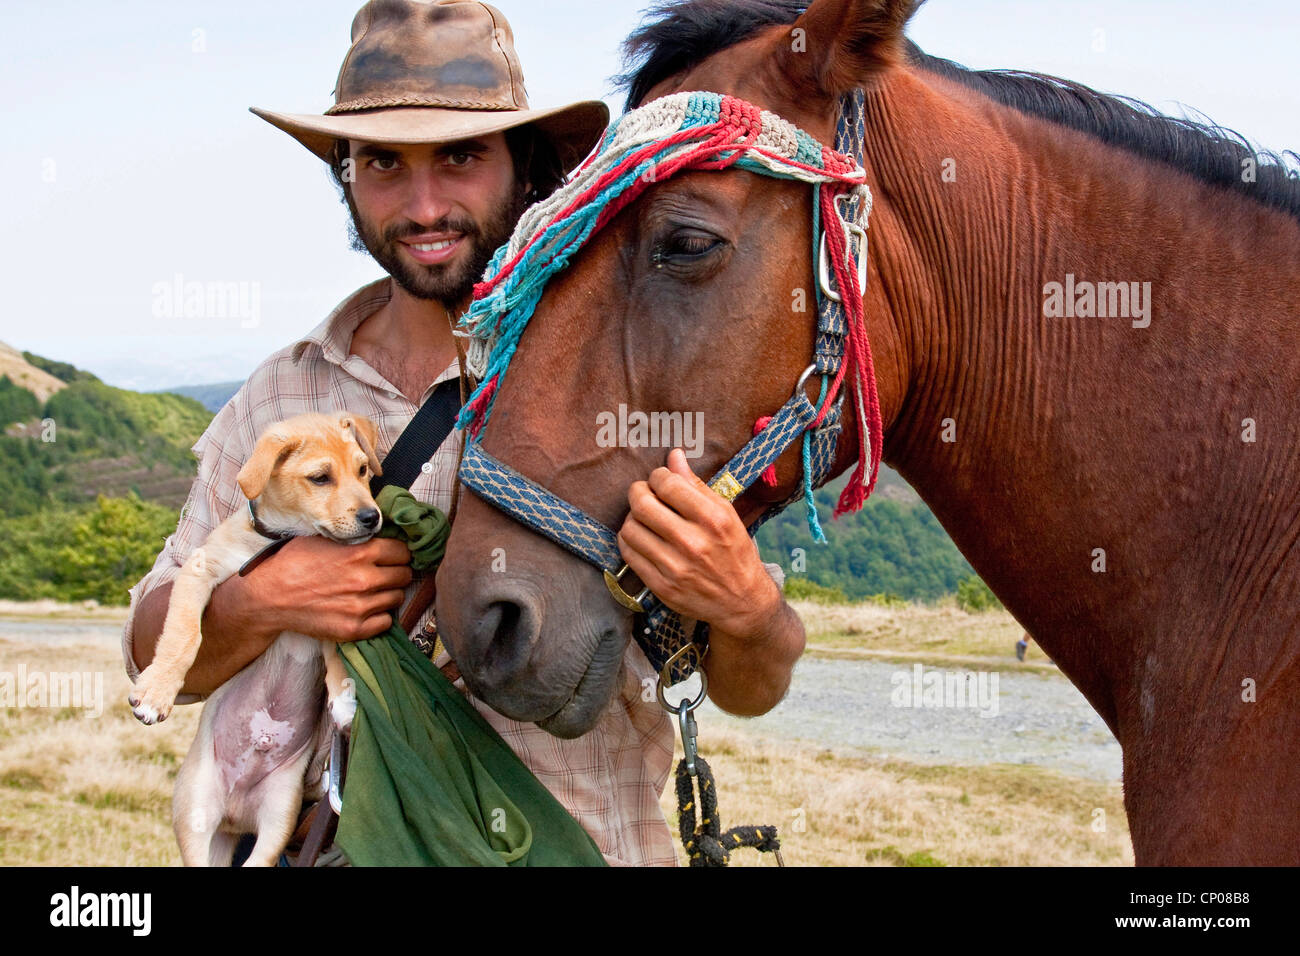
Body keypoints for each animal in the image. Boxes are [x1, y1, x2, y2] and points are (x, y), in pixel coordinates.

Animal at [130, 411, 387, 868]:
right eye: (320, 477)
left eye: (362, 469)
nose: (371, 517)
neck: (287, 537)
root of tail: (235, 815)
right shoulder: (200, 570)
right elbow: (185, 634)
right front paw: (157, 691)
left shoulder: (332, 610)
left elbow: (337, 656)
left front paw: (344, 700)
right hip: (197, 817)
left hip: (278, 820)